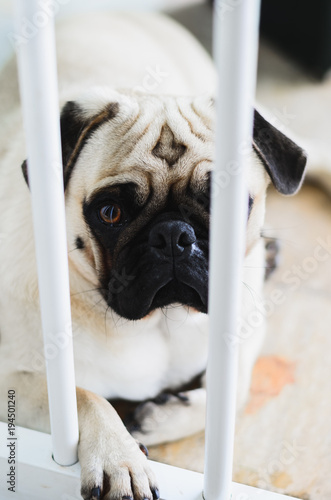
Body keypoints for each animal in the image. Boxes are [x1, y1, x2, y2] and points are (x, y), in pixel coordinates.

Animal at [0, 10, 308, 500]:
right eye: (110, 213)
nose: (173, 236)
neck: (160, 322)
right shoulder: (12, 381)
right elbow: (84, 396)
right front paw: (120, 457)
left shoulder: (247, 326)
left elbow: (234, 389)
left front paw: (160, 416)